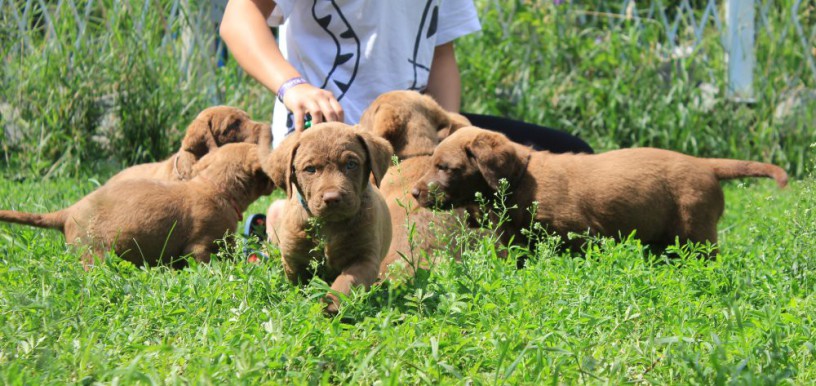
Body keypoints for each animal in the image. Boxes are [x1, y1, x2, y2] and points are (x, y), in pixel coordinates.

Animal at [266, 122, 394, 316]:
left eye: (351, 164)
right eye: (310, 169)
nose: (332, 198)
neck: (329, 225)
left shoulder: (364, 258)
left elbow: (345, 284)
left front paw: (330, 305)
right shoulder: (294, 258)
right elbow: (300, 286)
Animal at [414, 126, 792, 253]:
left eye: (444, 168)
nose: (415, 194)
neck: (521, 180)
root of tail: (705, 164)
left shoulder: (580, 235)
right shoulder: (516, 242)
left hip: (695, 233)